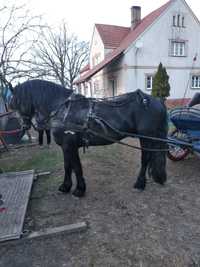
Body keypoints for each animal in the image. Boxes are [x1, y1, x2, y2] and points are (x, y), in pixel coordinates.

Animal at [10, 79, 168, 197]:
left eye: (18, 102)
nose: (23, 126)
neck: (63, 110)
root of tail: (156, 101)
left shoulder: (70, 145)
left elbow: (76, 167)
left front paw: (79, 189)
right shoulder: (66, 147)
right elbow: (68, 166)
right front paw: (65, 186)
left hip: (146, 137)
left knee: (145, 158)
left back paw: (140, 184)